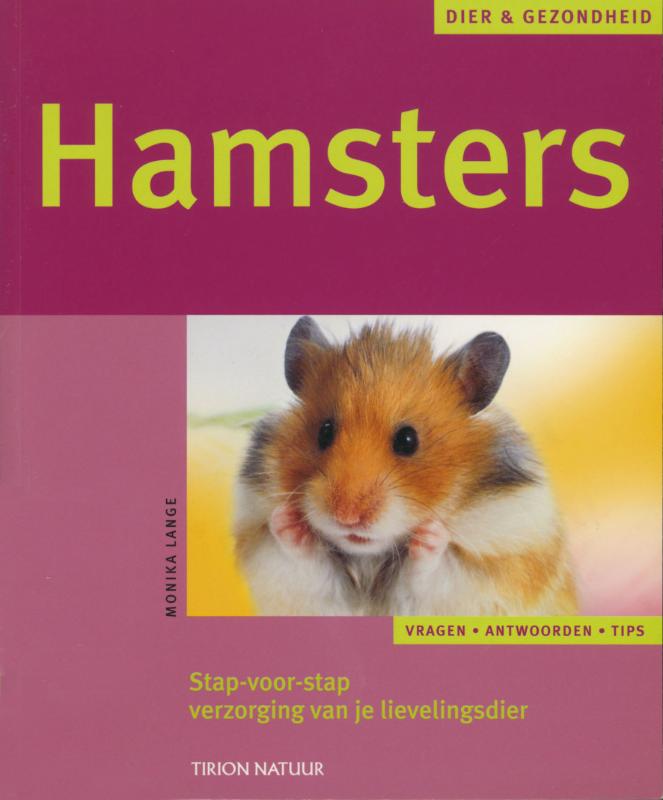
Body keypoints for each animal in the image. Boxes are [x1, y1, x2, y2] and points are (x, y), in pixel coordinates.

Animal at [233, 317, 577, 616]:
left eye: (408, 440)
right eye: (325, 432)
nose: (347, 517)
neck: (369, 558)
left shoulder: (490, 570)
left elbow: (430, 571)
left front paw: (430, 533)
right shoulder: (290, 580)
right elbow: (302, 559)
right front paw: (288, 520)